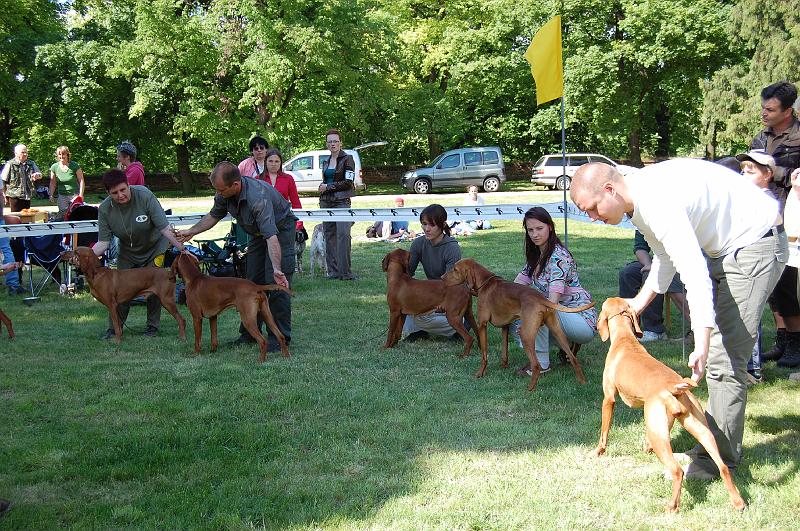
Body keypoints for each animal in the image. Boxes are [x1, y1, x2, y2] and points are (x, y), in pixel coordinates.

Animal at [440, 258, 592, 390]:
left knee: (536, 365)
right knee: (573, 358)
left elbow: (484, 355)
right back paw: (582, 382)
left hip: (526, 335)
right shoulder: (505, 327)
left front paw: (480, 373)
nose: (441, 277)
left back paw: (530, 389)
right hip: (558, 333)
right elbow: (504, 352)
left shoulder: (482, 325)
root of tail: (540, 298)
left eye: (455, 269)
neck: (485, 283)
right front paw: (503, 366)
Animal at [592, 298, 744, 512]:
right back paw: (738, 502)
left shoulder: (609, 399)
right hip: (701, 430)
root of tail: (675, 388)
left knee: (677, 471)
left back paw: (672, 506)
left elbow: (604, 431)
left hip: (659, 435)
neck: (625, 340)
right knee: (723, 467)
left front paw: (598, 451)